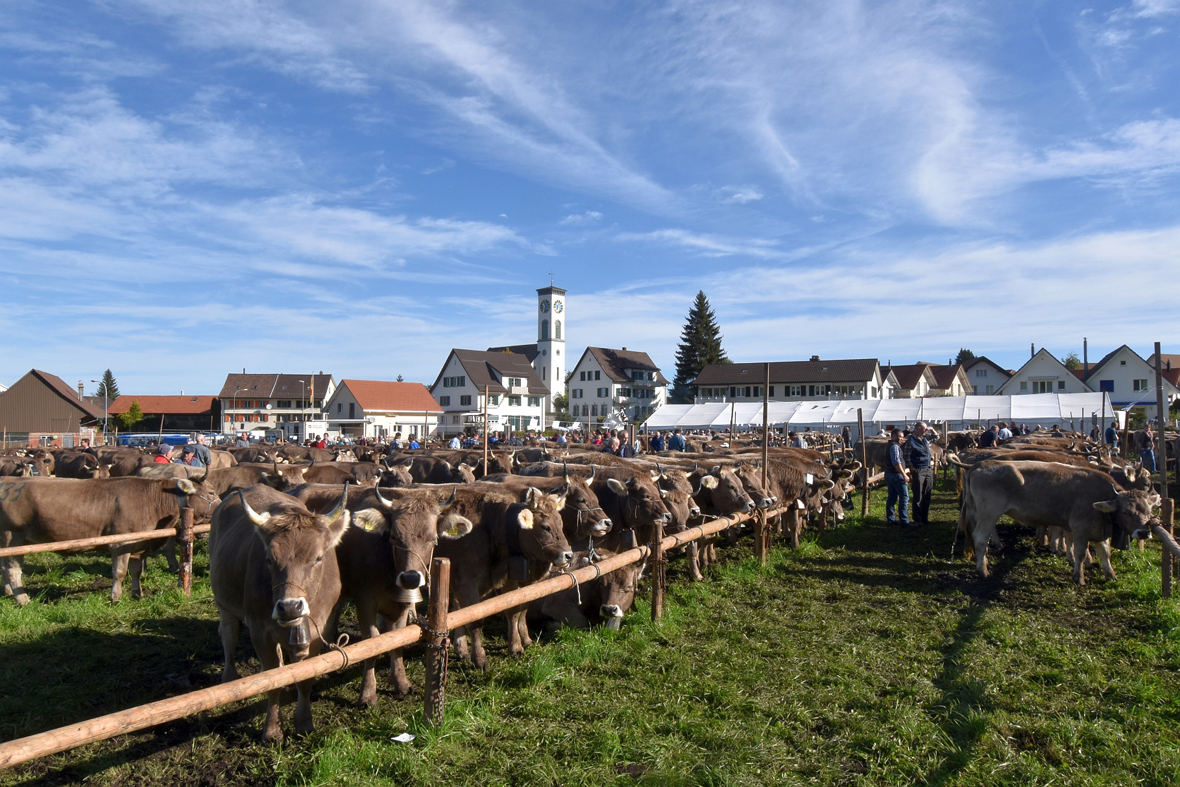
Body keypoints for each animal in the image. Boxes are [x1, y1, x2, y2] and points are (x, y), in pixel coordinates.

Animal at [208, 486, 349, 745]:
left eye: (318, 557)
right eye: (269, 559)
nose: (290, 607)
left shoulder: (318, 629)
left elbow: (305, 678)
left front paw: (304, 723)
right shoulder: (259, 630)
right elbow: (271, 680)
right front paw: (272, 730)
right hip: (224, 603)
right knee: (228, 634)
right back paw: (230, 676)